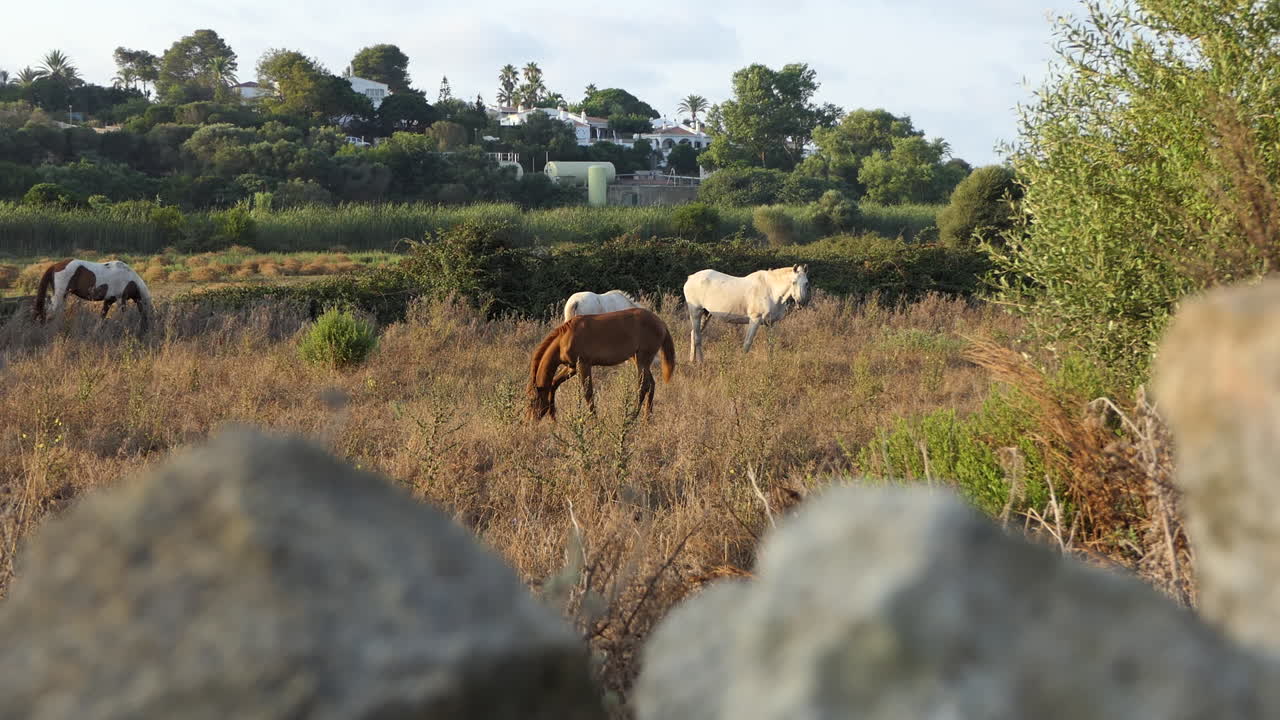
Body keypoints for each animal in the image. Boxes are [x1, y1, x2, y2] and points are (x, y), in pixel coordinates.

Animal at [528, 308, 676, 422]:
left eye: (532, 400)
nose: (529, 422)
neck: (564, 339)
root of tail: (661, 323)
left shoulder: (583, 365)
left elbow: (588, 393)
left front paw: (595, 422)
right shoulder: (572, 367)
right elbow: (554, 384)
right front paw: (553, 417)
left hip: (642, 360)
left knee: (643, 386)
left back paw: (631, 418)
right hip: (638, 360)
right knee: (651, 384)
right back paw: (647, 419)